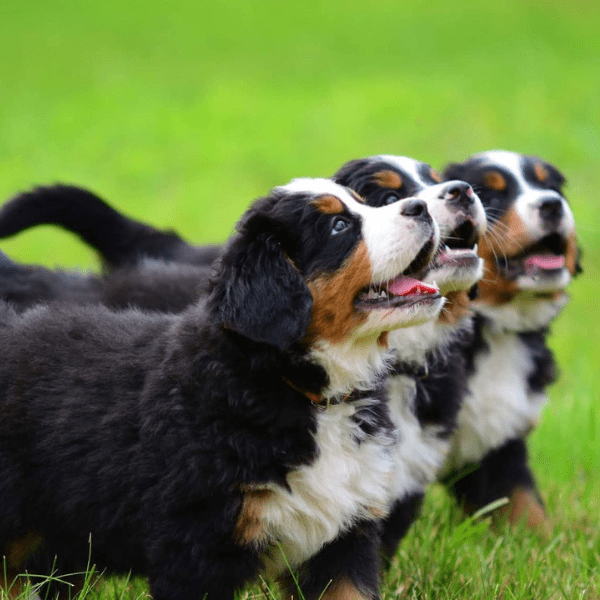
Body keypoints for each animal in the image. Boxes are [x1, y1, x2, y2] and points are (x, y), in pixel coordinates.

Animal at [0, 178, 446, 600]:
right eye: (338, 226)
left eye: (365, 202)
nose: (421, 208)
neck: (304, 392)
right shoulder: (196, 551)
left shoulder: (343, 543)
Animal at [440, 152, 580, 532]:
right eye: (493, 194)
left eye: (552, 186)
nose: (552, 204)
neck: (496, 329)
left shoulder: (501, 441)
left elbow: (525, 506)